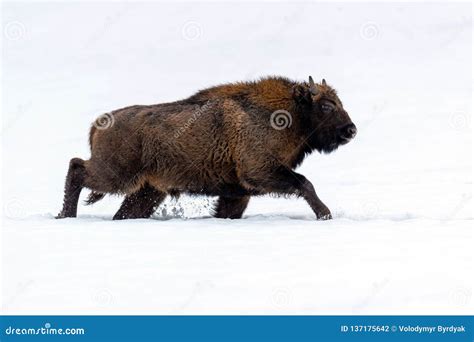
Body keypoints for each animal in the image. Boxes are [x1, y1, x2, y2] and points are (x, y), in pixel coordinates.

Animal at [57, 76, 356, 220]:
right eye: (326, 105)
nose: (351, 130)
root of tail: (99, 124)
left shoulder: (238, 192)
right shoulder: (259, 172)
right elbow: (304, 183)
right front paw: (325, 215)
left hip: (148, 191)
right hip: (118, 176)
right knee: (76, 168)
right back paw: (65, 216)